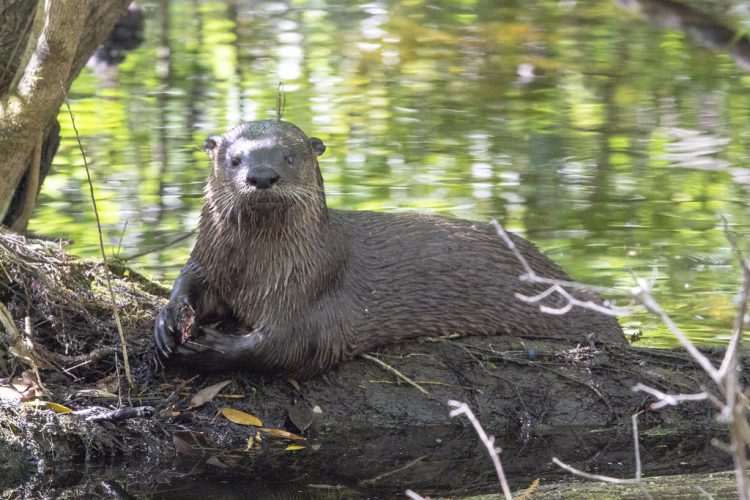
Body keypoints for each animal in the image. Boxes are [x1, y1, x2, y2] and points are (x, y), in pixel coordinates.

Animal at [156, 121, 624, 376]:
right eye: (234, 159)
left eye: (290, 157)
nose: (263, 175)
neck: (252, 269)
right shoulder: (209, 259)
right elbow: (188, 280)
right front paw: (167, 319)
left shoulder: (310, 288)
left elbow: (291, 344)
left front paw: (215, 349)